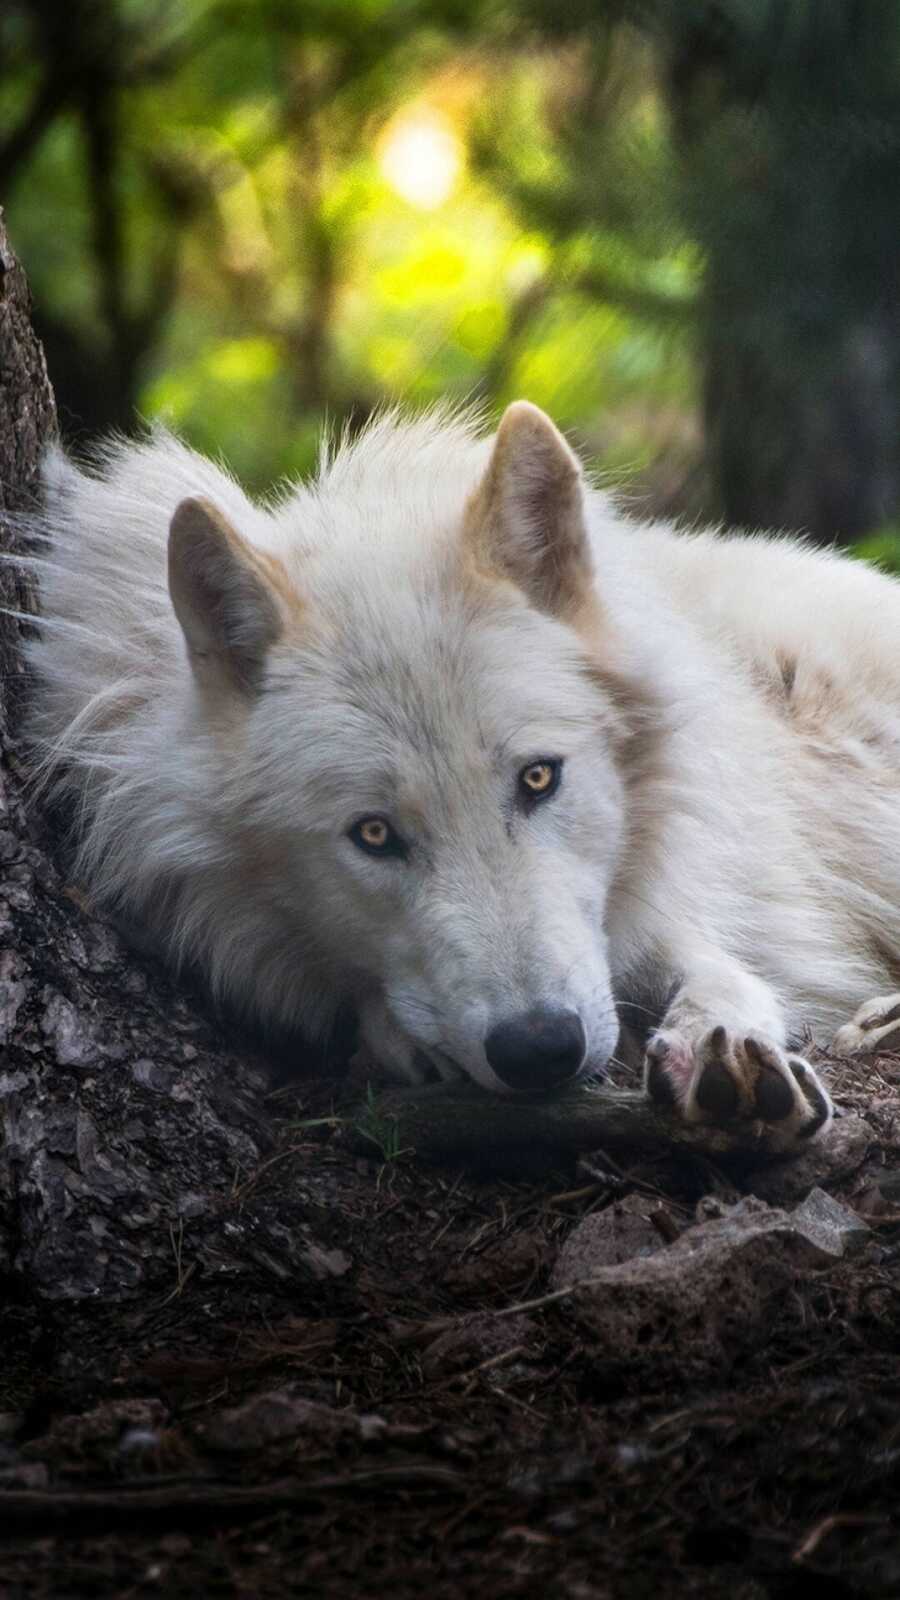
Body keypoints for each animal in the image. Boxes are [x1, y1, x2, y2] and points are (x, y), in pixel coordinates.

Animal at [17, 400, 900, 1147]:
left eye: (539, 779)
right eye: (374, 834)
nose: (540, 1049)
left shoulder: (678, 900)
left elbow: (716, 971)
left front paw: (722, 1051)